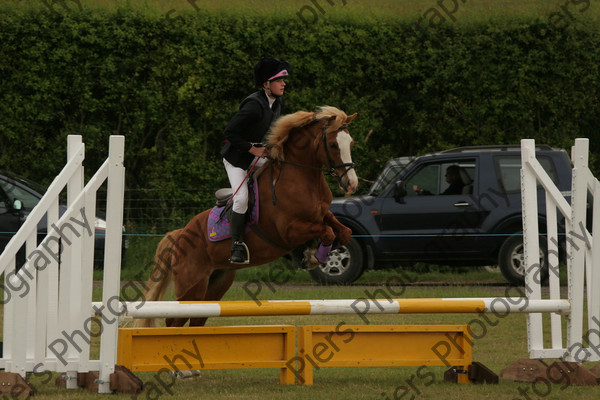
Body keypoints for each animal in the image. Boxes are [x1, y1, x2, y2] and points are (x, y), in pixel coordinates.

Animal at [137, 107, 358, 328]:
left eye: (351, 143)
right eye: (333, 144)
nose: (351, 183)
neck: (300, 177)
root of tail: (180, 234)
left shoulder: (321, 215)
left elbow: (343, 232)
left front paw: (317, 254)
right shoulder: (288, 230)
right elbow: (327, 232)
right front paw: (314, 256)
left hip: (217, 282)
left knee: (198, 318)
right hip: (191, 285)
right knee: (175, 320)